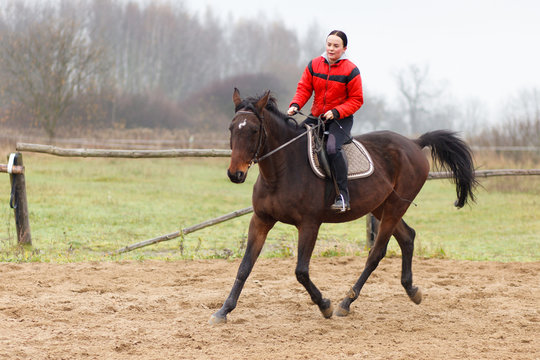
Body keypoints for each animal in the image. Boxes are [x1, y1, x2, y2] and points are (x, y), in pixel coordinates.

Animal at [209, 89, 474, 324]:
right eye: (231, 128)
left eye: (254, 130)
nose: (235, 174)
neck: (282, 170)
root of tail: (413, 143)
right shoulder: (261, 220)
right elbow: (245, 267)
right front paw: (223, 311)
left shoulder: (309, 225)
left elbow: (301, 271)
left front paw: (324, 305)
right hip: (381, 206)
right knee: (408, 237)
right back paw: (411, 290)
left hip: (395, 207)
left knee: (376, 253)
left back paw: (346, 303)